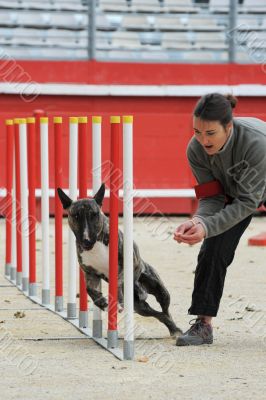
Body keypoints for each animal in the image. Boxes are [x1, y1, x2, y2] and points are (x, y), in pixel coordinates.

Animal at [56, 186, 181, 336]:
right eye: (76, 216)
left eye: (94, 215)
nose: (86, 240)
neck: (96, 244)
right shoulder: (91, 274)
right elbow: (90, 290)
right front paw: (103, 303)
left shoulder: (124, 266)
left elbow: (118, 282)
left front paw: (117, 301)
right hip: (139, 306)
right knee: (159, 315)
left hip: (159, 289)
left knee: (166, 310)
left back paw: (175, 329)